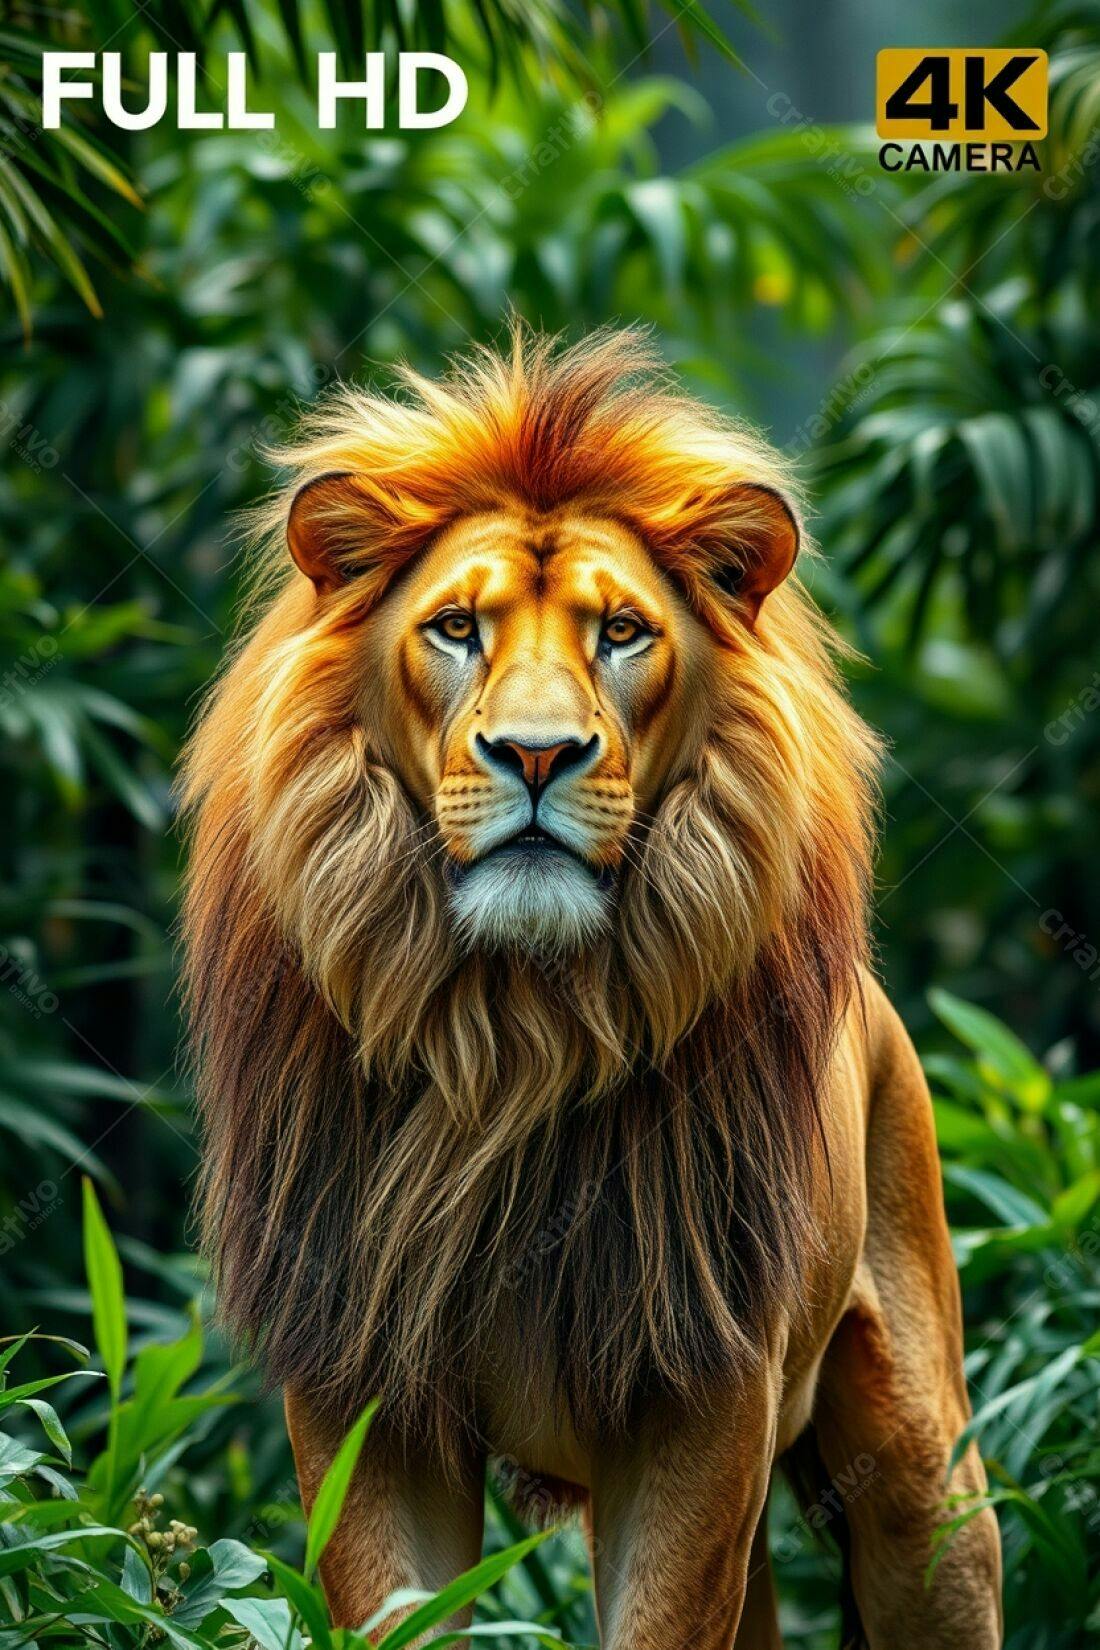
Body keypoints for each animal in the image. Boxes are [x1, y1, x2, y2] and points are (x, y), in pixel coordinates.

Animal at [180, 328, 1002, 1648]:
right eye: (453, 628)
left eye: (620, 633)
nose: (534, 754)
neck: (515, 1034)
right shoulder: (362, 1381)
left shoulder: (702, 1392)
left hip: (924, 1476)